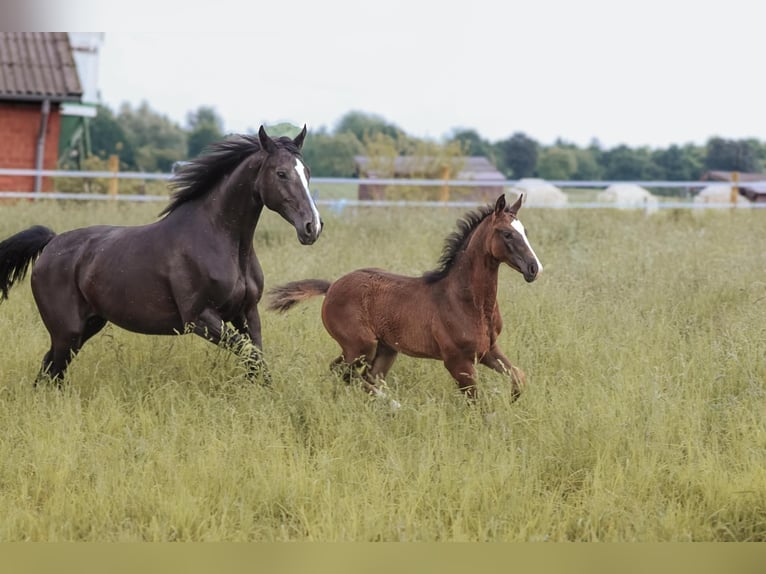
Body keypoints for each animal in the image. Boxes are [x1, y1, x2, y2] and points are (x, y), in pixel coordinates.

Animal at [0, 125, 322, 385]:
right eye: (281, 173)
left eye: (307, 173)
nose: (312, 227)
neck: (222, 243)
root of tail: (51, 243)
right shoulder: (201, 319)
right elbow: (250, 355)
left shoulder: (246, 313)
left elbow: (257, 360)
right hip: (66, 331)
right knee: (51, 370)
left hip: (87, 326)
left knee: (49, 369)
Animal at [267, 193, 542, 402]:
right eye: (507, 234)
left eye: (525, 231)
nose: (534, 268)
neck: (467, 301)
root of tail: (333, 285)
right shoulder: (457, 361)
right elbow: (476, 402)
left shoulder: (488, 350)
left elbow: (519, 376)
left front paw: (512, 401)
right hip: (360, 346)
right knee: (343, 373)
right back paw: (392, 404)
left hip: (385, 350)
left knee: (364, 377)